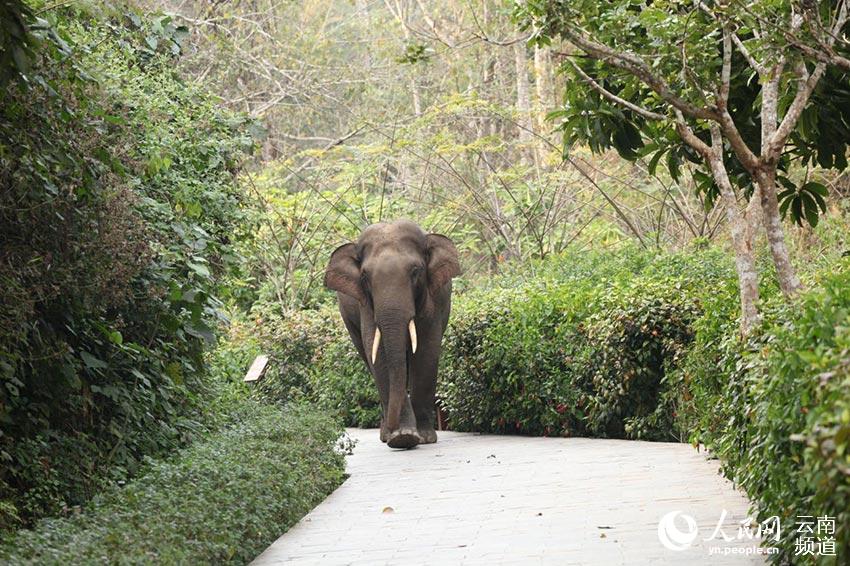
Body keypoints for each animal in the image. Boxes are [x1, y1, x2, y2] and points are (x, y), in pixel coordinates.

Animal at [322, 220, 458, 450]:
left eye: (415, 271)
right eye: (365, 276)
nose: (393, 428)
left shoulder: (435, 298)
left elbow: (426, 351)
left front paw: (423, 437)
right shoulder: (365, 304)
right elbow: (378, 352)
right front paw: (401, 437)